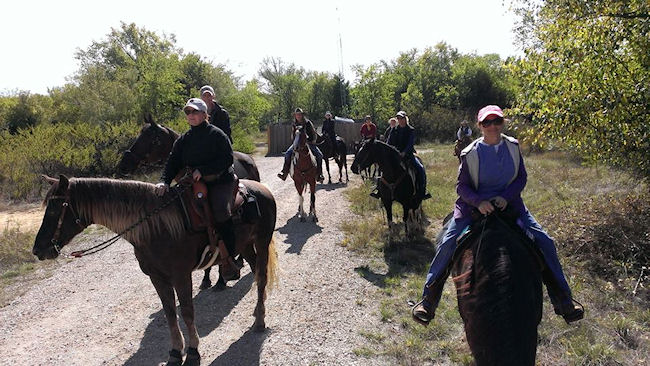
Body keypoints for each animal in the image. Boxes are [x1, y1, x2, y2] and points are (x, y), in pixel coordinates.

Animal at [31, 175, 278, 366]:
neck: (156, 227)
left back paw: (260, 321)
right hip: (245, 245)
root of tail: (262, 189)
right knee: (256, 273)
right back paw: (257, 311)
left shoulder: (181, 276)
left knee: (262, 277)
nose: (38, 250)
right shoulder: (157, 278)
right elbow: (169, 313)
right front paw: (176, 352)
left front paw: (193, 352)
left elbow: (186, 312)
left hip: (262, 241)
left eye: (53, 211)